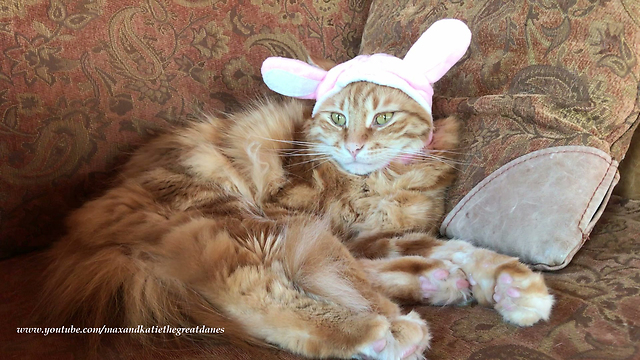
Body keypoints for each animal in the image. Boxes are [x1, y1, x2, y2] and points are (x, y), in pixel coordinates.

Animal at [42, 81, 552, 360]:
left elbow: (459, 249)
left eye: (383, 119)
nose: (354, 146)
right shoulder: (300, 217)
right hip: (235, 219)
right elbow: (361, 270)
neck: (376, 183)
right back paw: (387, 330)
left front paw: (514, 286)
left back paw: (434, 284)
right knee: (254, 293)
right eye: (338, 117)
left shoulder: (381, 235)